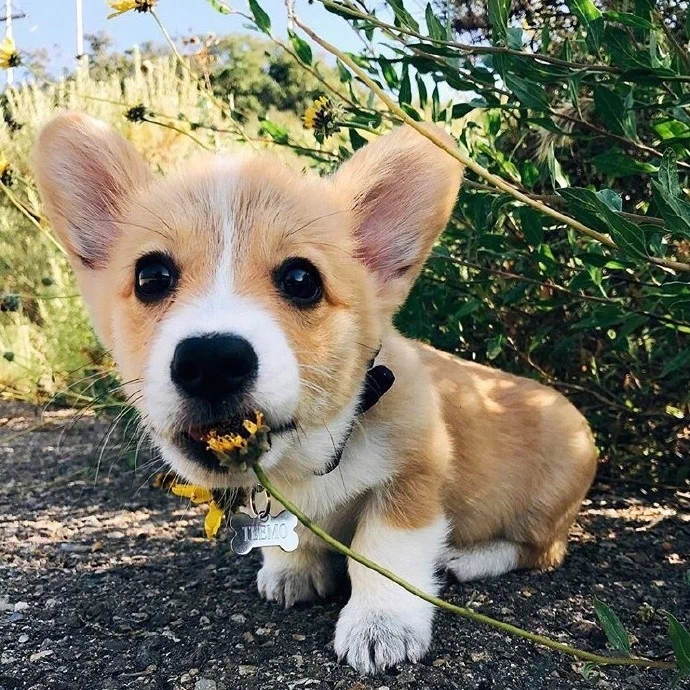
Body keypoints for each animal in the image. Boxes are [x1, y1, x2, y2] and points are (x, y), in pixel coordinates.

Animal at [32, 113, 592, 672]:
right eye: (151, 276)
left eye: (302, 279)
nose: (210, 363)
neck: (312, 455)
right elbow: (292, 538)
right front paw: (292, 570)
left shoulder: (414, 477)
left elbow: (384, 552)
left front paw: (381, 624)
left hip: (555, 487)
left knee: (539, 550)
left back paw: (467, 559)